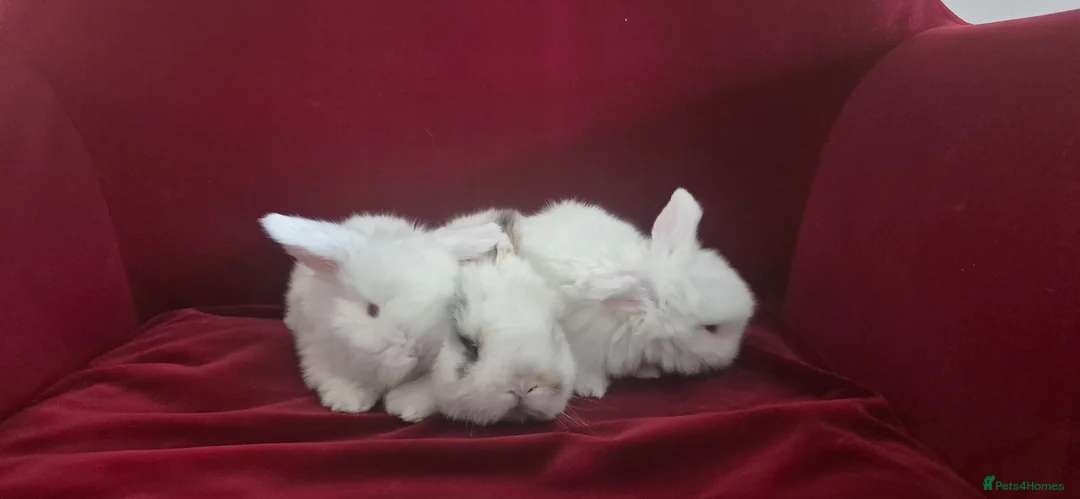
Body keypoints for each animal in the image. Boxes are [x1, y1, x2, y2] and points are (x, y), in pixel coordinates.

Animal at [259, 212, 506, 414]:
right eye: (372, 310)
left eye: (444, 303)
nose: (419, 351)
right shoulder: (316, 348)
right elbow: (332, 374)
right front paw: (349, 400)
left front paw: (404, 405)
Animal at [443, 188, 755, 398]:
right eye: (711, 328)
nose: (732, 356)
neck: (632, 316)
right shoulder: (585, 345)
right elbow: (588, 369)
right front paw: (591, 390)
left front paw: (647, 372)